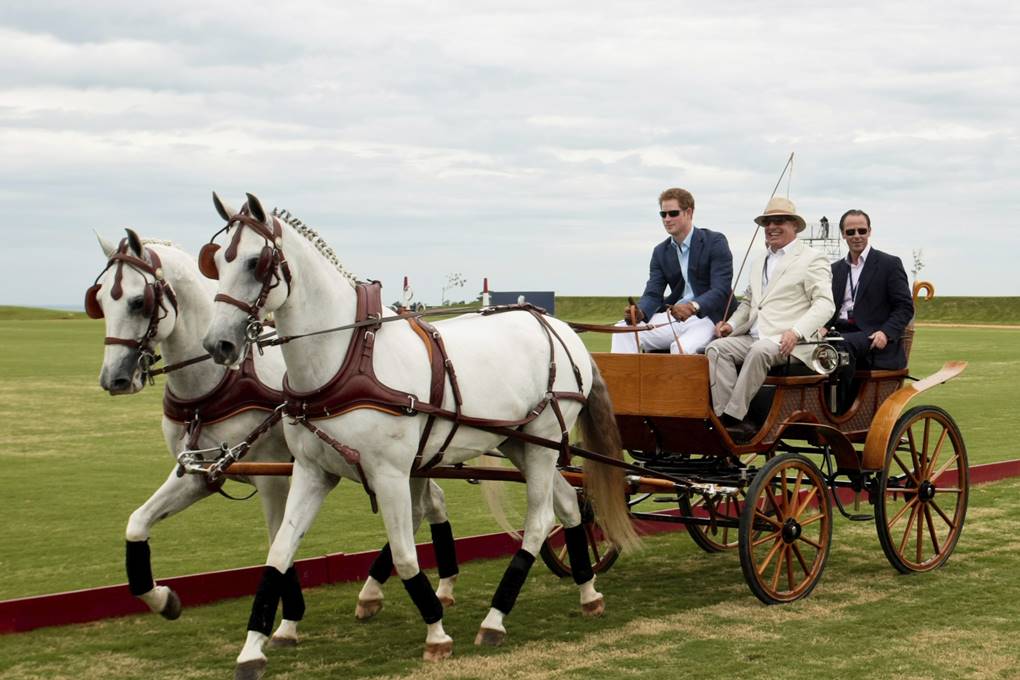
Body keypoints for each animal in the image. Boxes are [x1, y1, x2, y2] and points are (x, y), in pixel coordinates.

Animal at [87, 228, 463, 644]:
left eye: (138, 301)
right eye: (99, 300)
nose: (114, 379)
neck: (214, 383)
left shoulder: (272, 475)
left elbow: (276, 542)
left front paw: (288, 619)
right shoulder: (201, 473)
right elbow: (137, 523)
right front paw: (162, 598)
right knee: (428, 505)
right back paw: (405, 589)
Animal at [198, 193, 636, 676]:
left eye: (255, 262)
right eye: (217, 261)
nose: (217, 344)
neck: (346, 358)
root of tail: (560, 330)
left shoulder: (390, 473)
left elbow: (407, 553)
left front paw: (436, 632)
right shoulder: (313, 473)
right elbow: (278, 554)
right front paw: (254, 648)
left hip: (542, 444)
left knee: (539, 523)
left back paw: (495, 618)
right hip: (520, 443)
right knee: (571, 507)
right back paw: (588, 591)